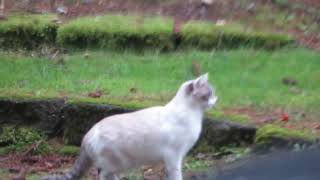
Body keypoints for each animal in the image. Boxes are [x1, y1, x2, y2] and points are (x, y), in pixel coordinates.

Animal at [41, 73, 218, 180]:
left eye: (213, 93)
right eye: (208, 94)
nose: (216, 100)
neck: (193, 114)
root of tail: (88, 133)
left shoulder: (174, 157)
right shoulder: (173, 156)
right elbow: (176, 175)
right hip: (116, 163)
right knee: (103, 174)